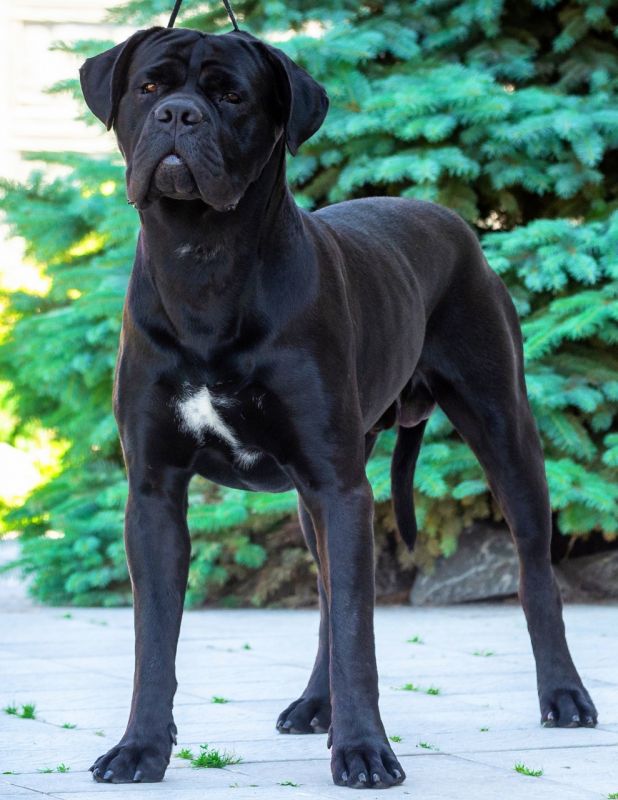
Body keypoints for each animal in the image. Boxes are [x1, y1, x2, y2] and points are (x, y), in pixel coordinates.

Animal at [79, 26, 597, 789]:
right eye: (149, 87)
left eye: (231, 96)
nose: (179, 116)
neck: (203, 258)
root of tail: (446, 215)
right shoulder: (154, 492)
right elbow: (156, 638)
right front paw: (140, 748)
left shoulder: (338, 483)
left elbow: (359, 631)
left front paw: (364, 753)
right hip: (313, 495)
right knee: (327, 590)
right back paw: (313, 705)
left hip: (504, 428)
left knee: (535, 574)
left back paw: (563, 694)